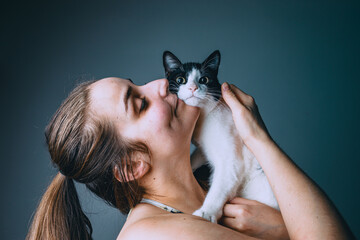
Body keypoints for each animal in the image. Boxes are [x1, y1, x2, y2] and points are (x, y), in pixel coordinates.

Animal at [162, 50, 278, 223]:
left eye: (204, 79)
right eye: (180, 80)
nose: (193, 88)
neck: (203, 118)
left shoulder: (231, 160)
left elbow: (219, 188)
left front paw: (207, 212)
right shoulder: (202, 149)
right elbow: (194, 160)